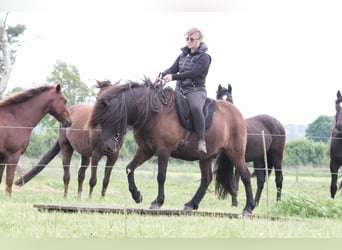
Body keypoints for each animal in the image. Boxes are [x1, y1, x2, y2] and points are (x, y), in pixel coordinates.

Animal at [88, 77, 254, 215]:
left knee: (245, 175)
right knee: (206, 179)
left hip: (235, 153)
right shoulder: (145, 150)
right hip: (205, 157)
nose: (107, 148)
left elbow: (161, 176)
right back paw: (191, 204)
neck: (152, 113)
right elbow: (129, 168)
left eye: (112, 118)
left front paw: (157, 201)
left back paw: (248, 207)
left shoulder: (163, 151)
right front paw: (137, 196)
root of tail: (237, 113)